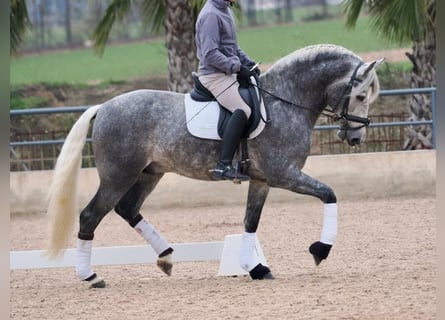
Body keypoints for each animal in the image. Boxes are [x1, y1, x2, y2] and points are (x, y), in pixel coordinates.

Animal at [46, 43, 384, 286]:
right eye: (360, 95)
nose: (356, 138)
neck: (285, 102)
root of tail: (103, 107)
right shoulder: (284, 174)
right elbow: (329, 193)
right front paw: (320, 250)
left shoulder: (262, 180)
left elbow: (250, 222)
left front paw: (255, 268)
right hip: (118, 175)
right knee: (90, 216)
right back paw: (91, 276)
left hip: (149, 173)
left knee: (127, 209)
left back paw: (166, 257)